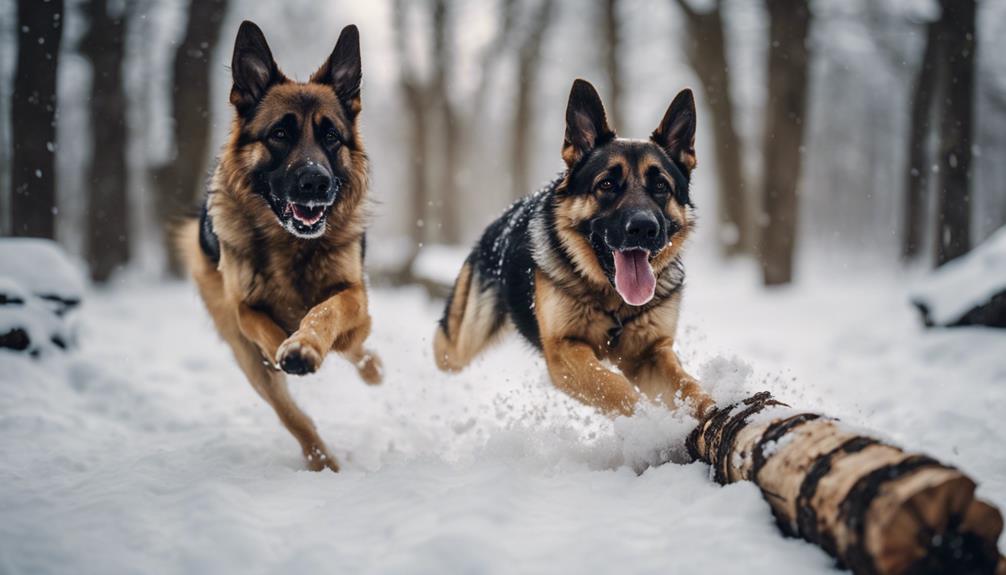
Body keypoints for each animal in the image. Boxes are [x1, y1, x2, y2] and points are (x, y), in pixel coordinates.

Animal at [177, 22, 380, 472]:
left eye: (331, 136)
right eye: (280, 134)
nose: (316, 182)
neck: (293, 246)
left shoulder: (355, 299)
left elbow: (326, 312)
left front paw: (306, 343)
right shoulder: (242, 311)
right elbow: (265, 331)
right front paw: (290, 347)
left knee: (356, 350)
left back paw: (370, 369)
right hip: (242, 351)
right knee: (290, 413)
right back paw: (322, 461)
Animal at [436, 79, 712, 418]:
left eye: (661, 187)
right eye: (606, 185)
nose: (644, 228)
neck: (613, 302)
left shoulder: (651, 353)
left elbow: (689, 386)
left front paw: (716, 412)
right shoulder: (564, 348)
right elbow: (615, 388)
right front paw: (647, 422)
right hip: (459, 343)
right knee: (442, 348)